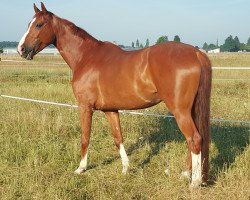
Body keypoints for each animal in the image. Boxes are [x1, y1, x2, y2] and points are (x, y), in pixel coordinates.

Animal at [17, 2, 211, 188]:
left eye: (39, 24)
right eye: (29, 24)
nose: (21, 49)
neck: (86, 57)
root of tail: (196, 53)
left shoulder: (85, 107)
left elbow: (85, 137)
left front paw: (81, 168)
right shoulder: (110, 110)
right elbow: (118, 138)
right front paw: (126, 169)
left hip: (180, 111)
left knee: (194, 139)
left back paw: (194, 182)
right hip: (190, 110)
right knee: (194, 139)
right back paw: (185, 174)